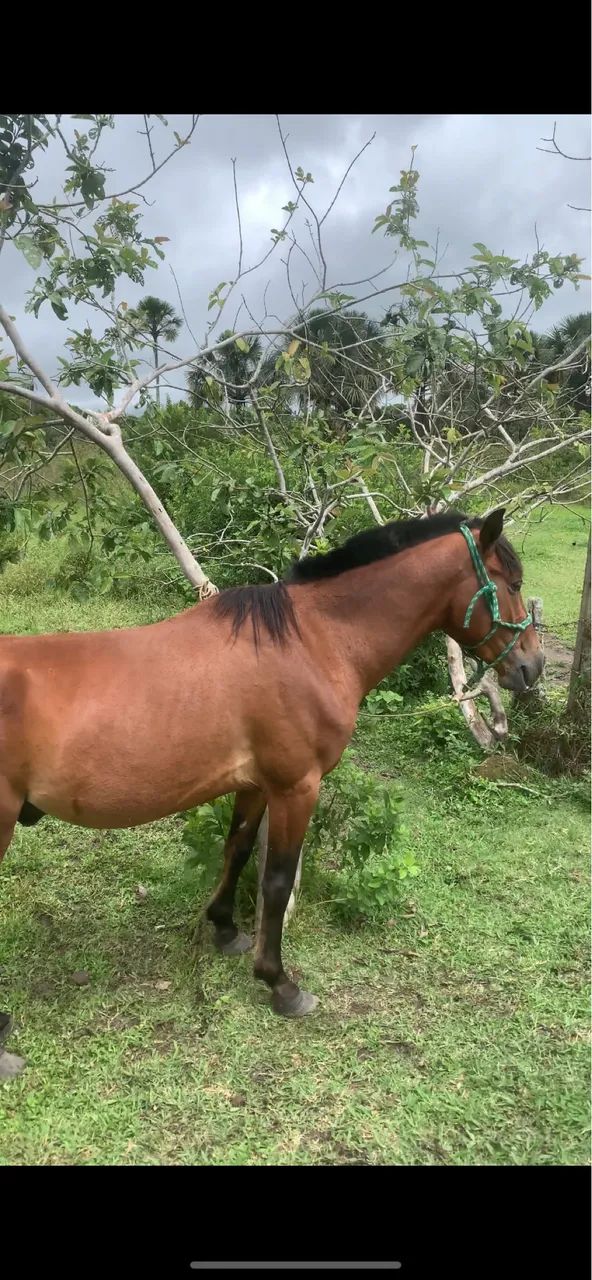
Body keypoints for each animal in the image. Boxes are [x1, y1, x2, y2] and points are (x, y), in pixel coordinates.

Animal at [0, 507, 543, 1019]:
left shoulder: (256, 784)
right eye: (514, 583)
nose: (531, 668)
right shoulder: (296, 787)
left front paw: (224, 929)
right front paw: (279, 983)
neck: (311, 642)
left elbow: (237, 850)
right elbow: (277, 881)